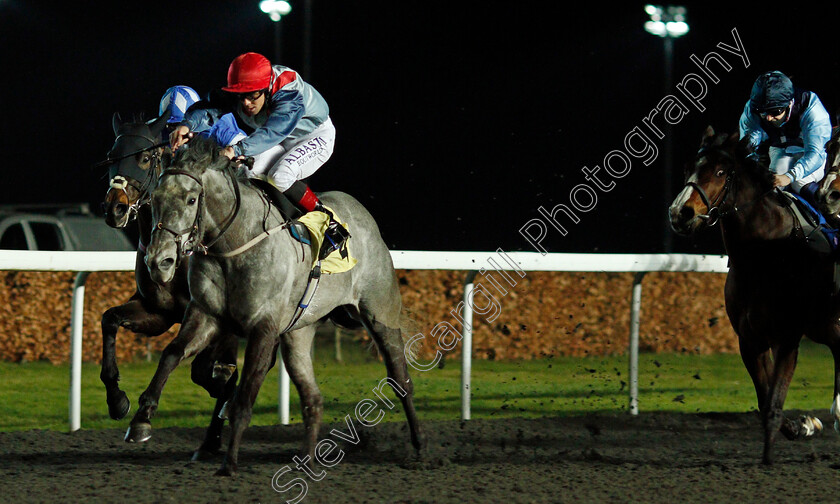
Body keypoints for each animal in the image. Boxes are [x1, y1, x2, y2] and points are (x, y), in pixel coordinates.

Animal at [97, 112, 240, 458]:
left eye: (145, 158)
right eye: (111, 156)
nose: (115, 208)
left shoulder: (210, 315)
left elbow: (188, 362)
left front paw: (142, 418)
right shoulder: (157, 312)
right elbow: (109, 319)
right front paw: (117, 399)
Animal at [134, 136, 424, 474]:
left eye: (192, 199)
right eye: (154, 199)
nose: (160, 261)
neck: (234, 243)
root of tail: (362, 215)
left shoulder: (264, 327)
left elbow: (245, 397)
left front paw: (229, 462)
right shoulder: (206, 314)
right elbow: (172, 353)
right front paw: (142, 419)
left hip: (380, 313)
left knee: (400, 378)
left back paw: (419, 444)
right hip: (299, 332)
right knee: (313, 398)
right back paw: (307, 460)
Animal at [668, 126, 840, 464]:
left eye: (720, 172)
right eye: (688, 168)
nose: (680, 213)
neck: (762, 255)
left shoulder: (787, 337)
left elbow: (774, 400)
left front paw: (770, 458)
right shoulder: (750, 339)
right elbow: (765, 401)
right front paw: (802, 426)